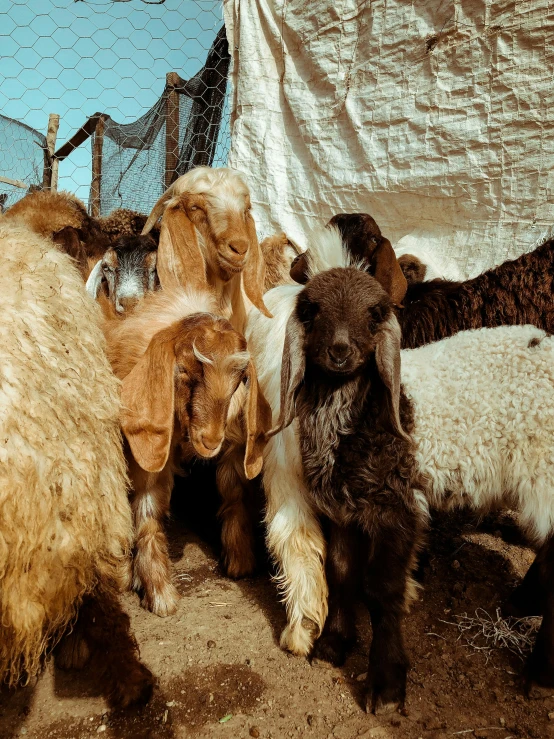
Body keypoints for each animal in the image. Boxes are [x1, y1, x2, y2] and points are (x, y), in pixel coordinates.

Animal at [104, 290, 270, 620]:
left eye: (240, 380)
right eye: (182, 371)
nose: (210, 441)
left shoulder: (234, 444)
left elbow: (233, 493)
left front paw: (241, 561)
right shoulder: (150, 453)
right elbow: (147, 511)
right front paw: (159, 594)